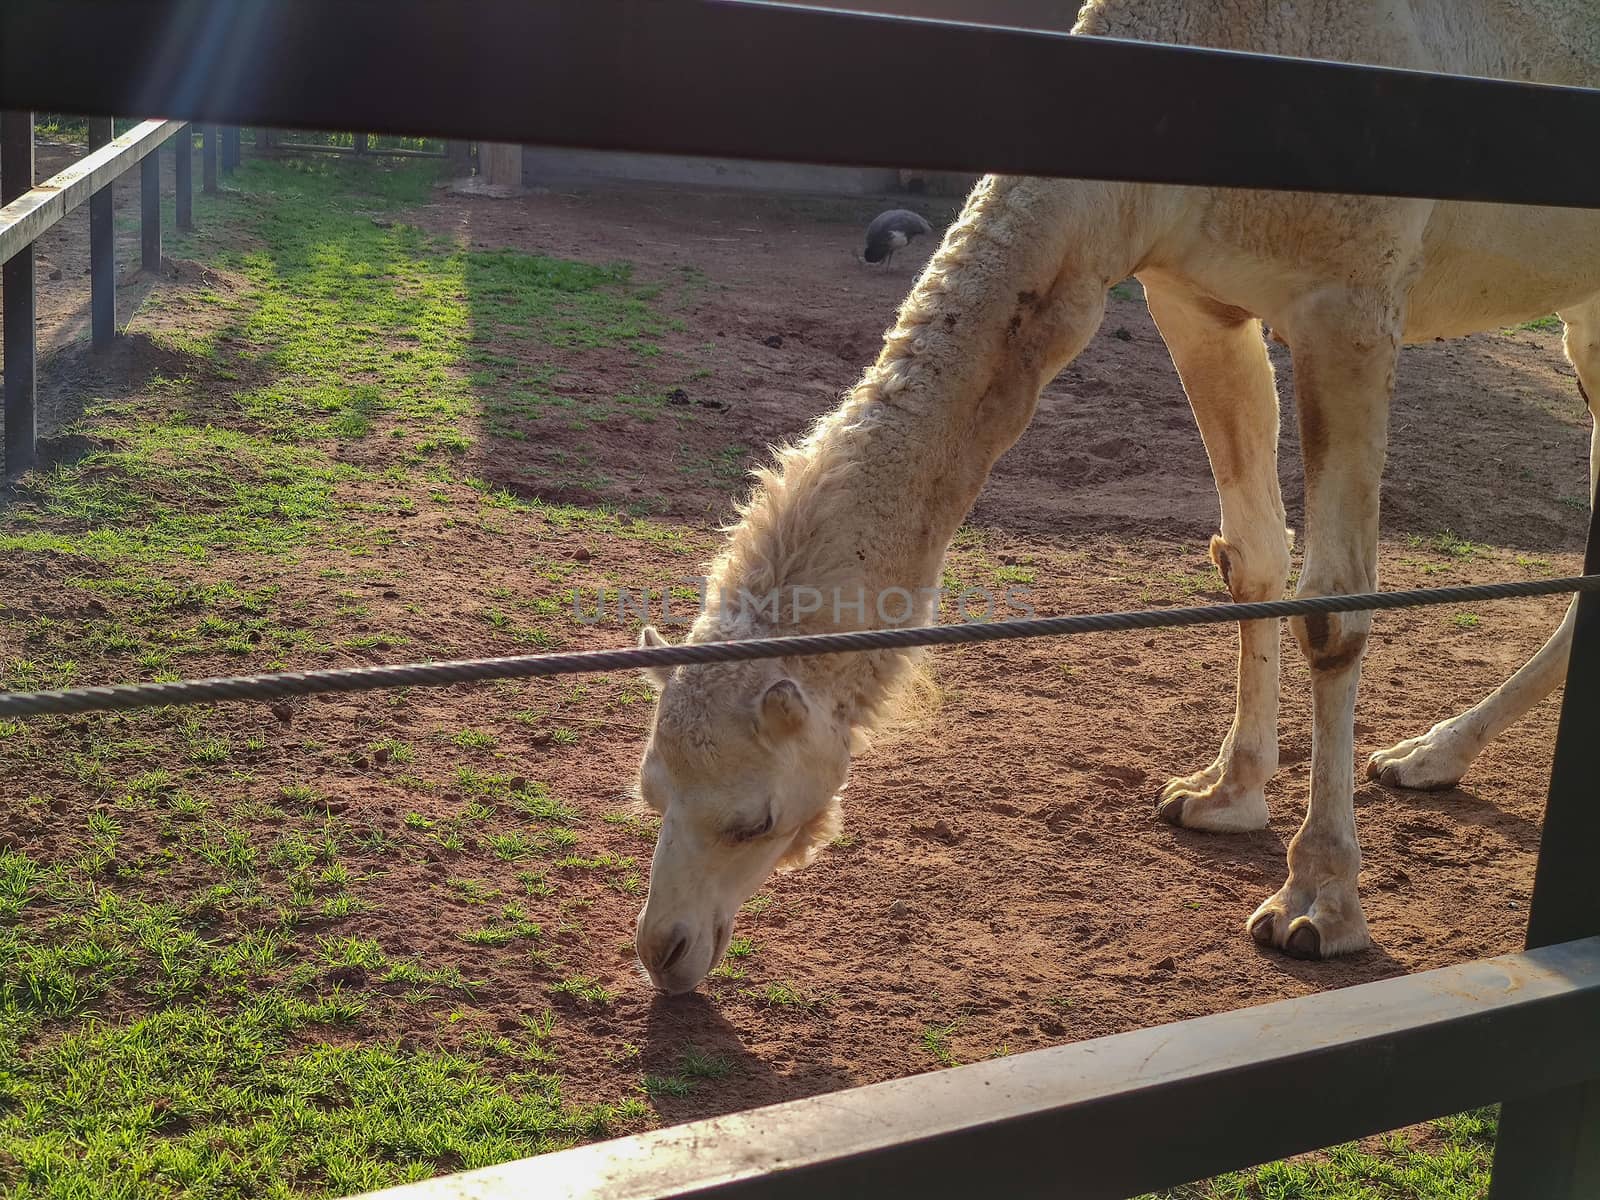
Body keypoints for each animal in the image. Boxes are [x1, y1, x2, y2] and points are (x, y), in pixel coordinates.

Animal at [627, 0, 1600, 998]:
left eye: (753, 817)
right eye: (651, 791)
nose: (663, 949)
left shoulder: (1355, 298)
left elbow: (1335, 610)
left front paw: (1318, 903)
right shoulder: (1194, 295)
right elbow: (1251, 558)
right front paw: (1222, 795)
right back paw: (1430, 756)